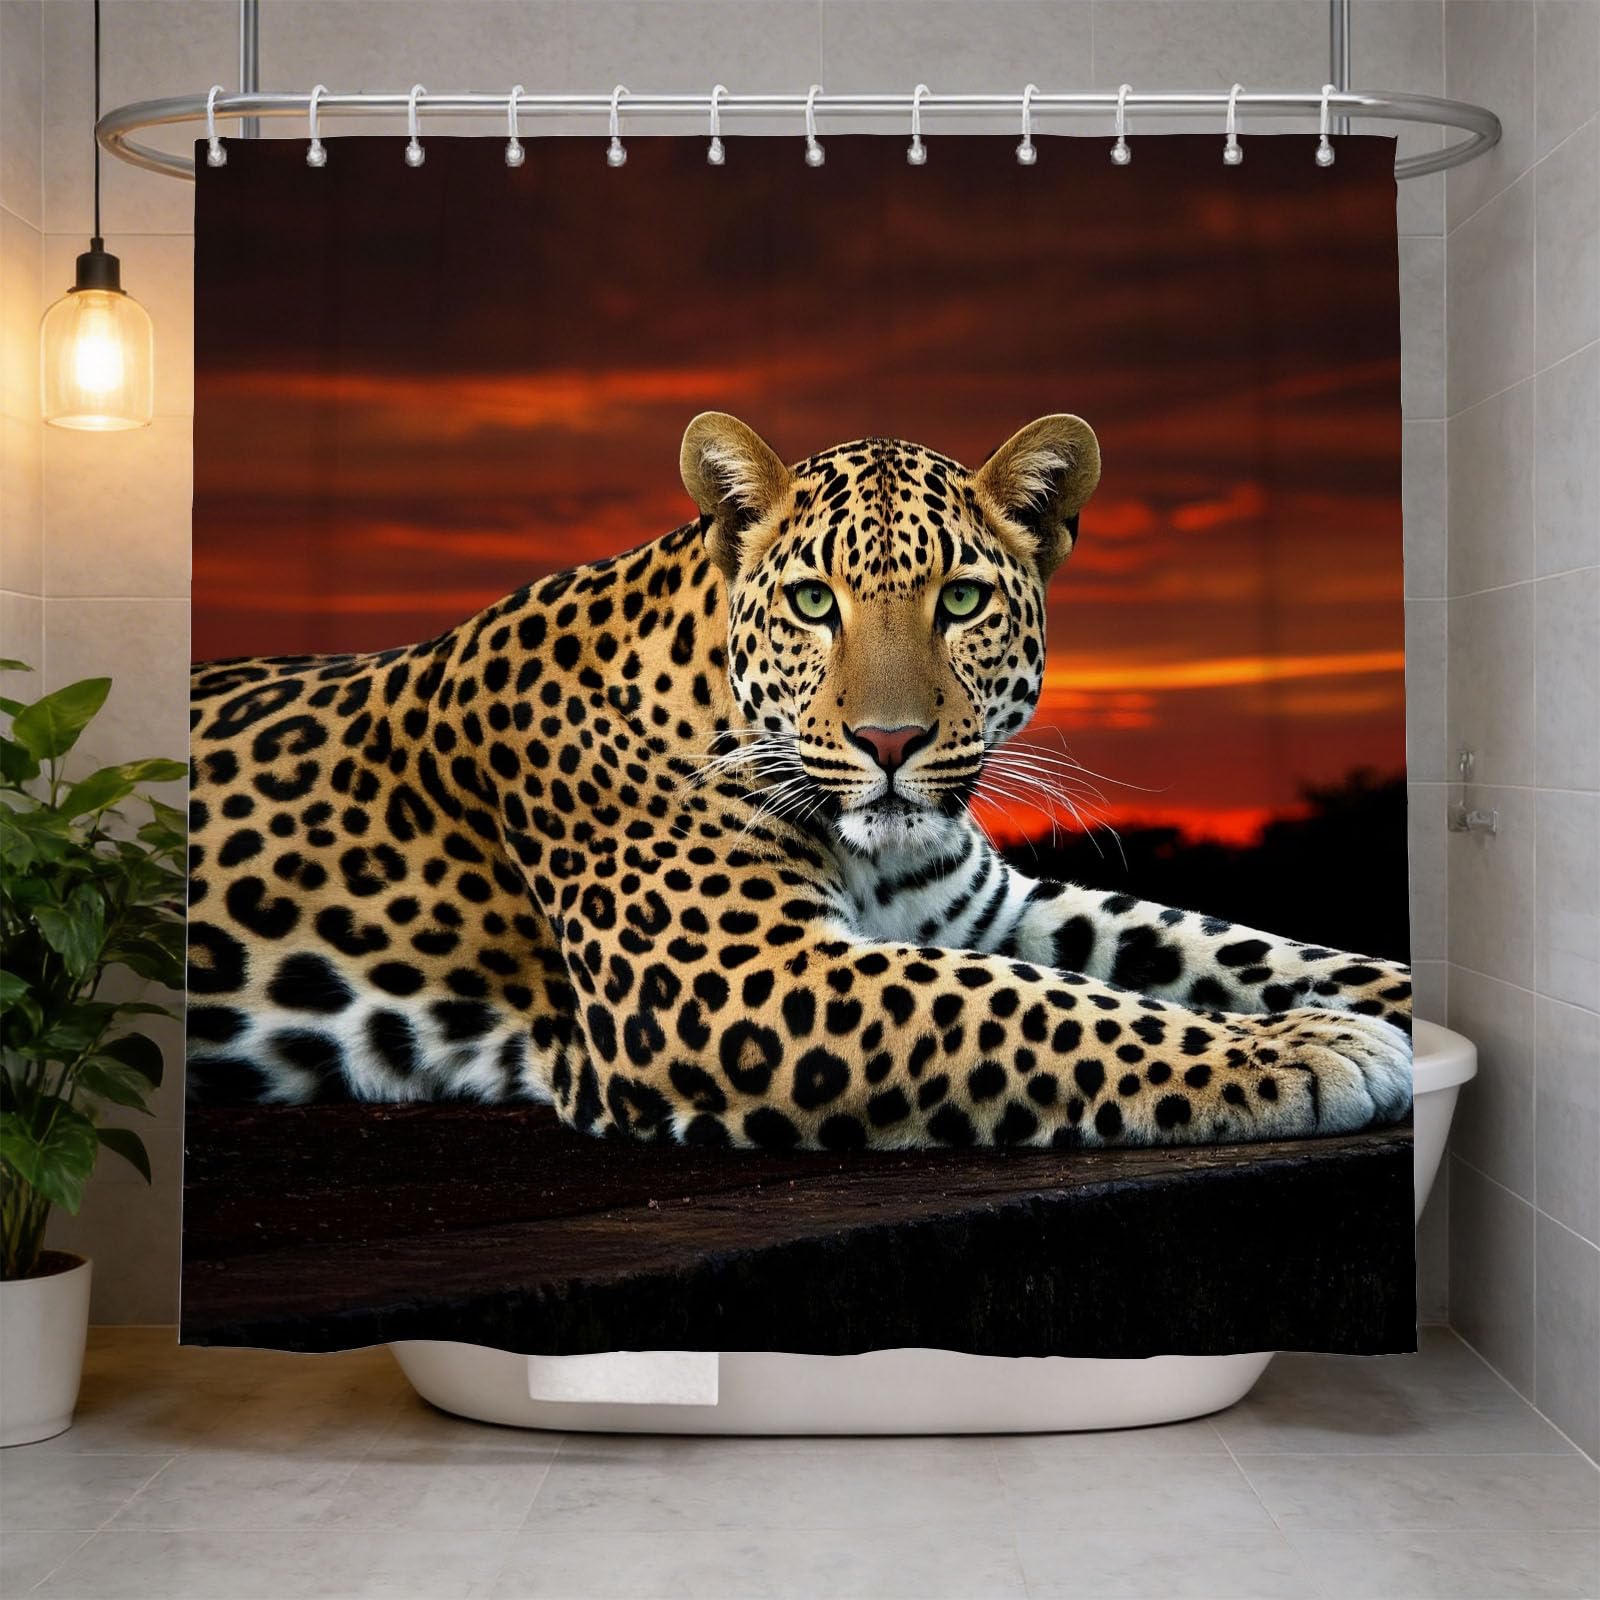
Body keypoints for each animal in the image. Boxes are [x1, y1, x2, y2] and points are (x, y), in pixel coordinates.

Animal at [186, 411, 1412, 1150]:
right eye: (814, 603)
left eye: (961, 599)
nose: (889, 742)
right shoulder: (728, 976)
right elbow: (1039, 1007)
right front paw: (1310, 1047)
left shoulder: (987, 907)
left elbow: (1222, 946)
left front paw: (1367, 1001)